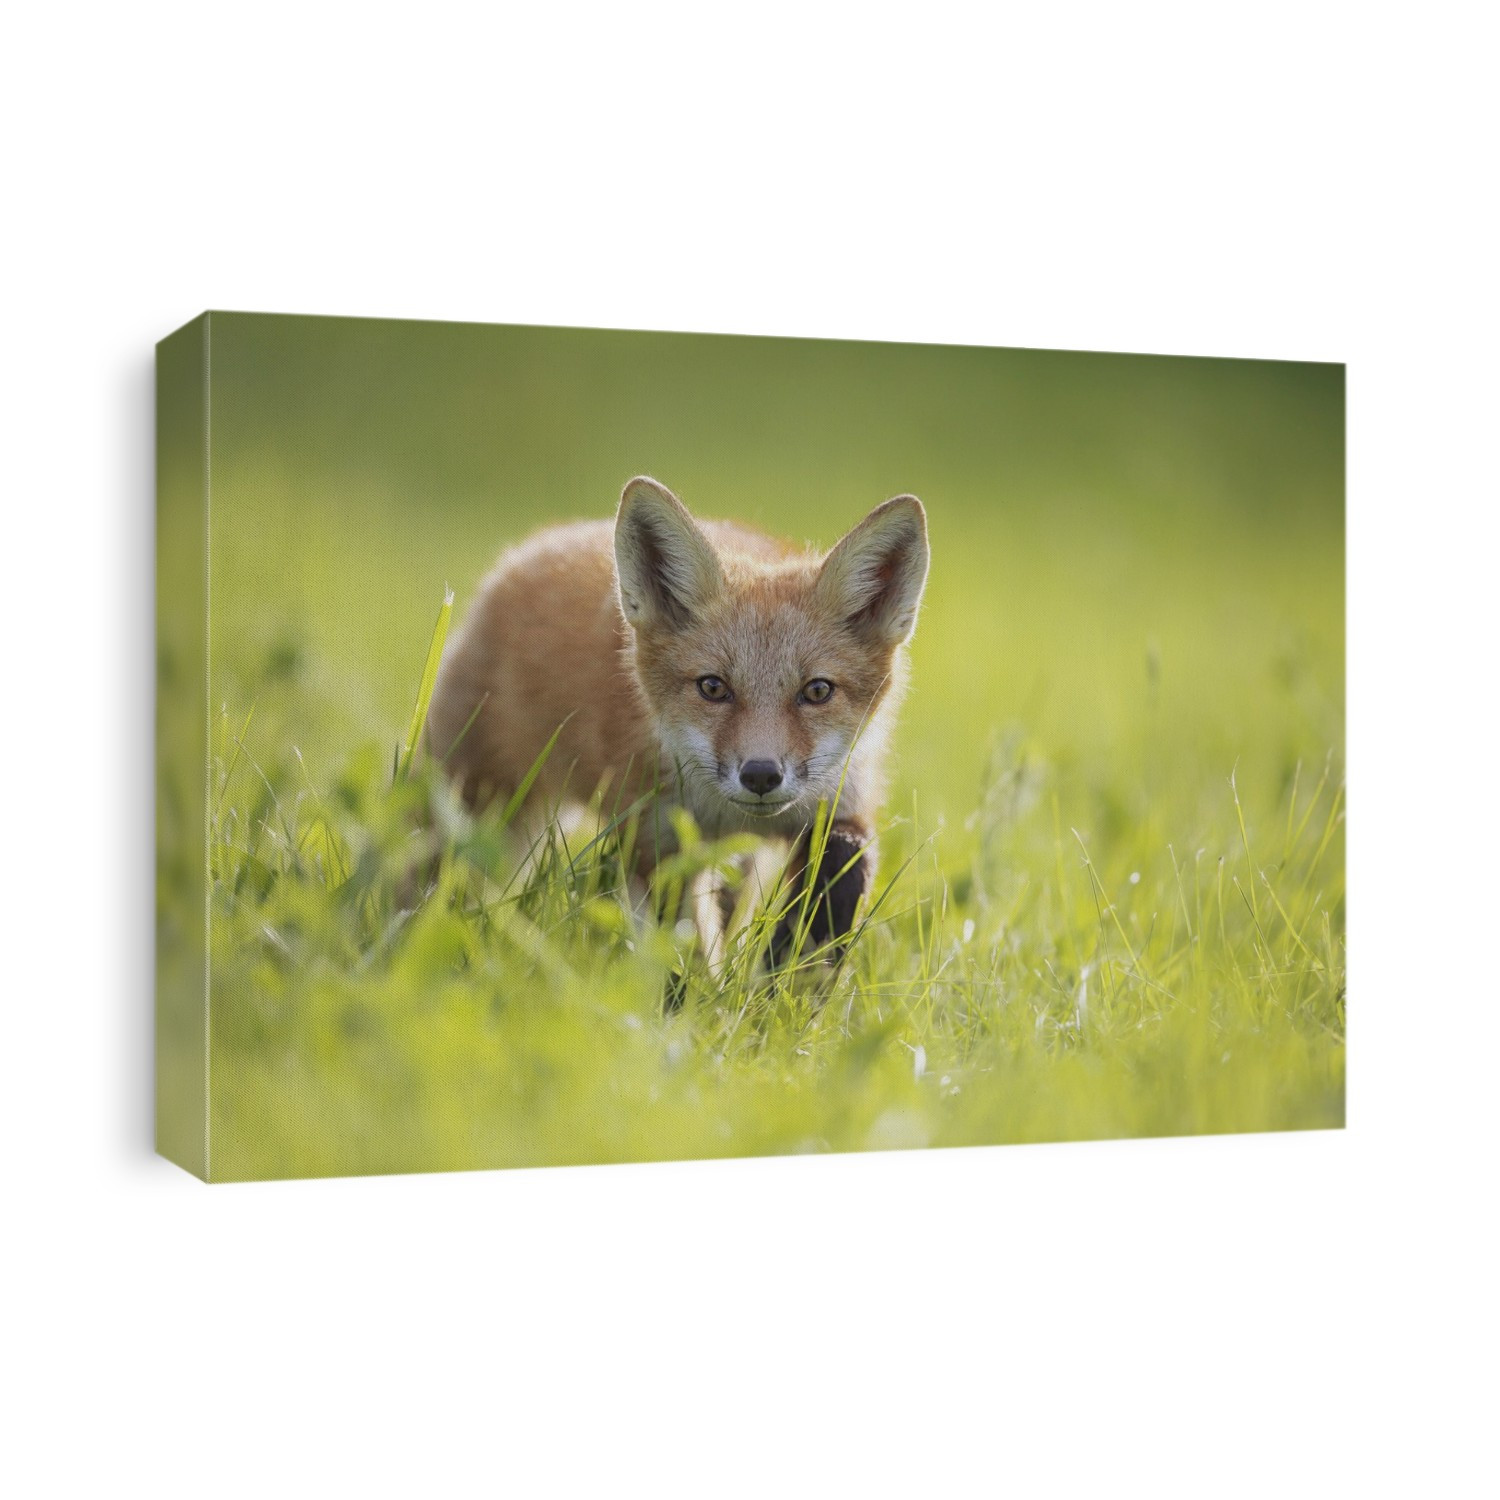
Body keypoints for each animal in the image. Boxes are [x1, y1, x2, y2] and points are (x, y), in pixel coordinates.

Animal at [426, 475, 930, 966]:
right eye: (713, 687)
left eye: (818, 691)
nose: (760, 775)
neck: (728, 813)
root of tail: (539, 542)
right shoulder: (655, 836)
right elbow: (685, 947)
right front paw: (712, 993)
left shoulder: (842, 802)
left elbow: (841, 875)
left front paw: (785, 974)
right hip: (476, 809)